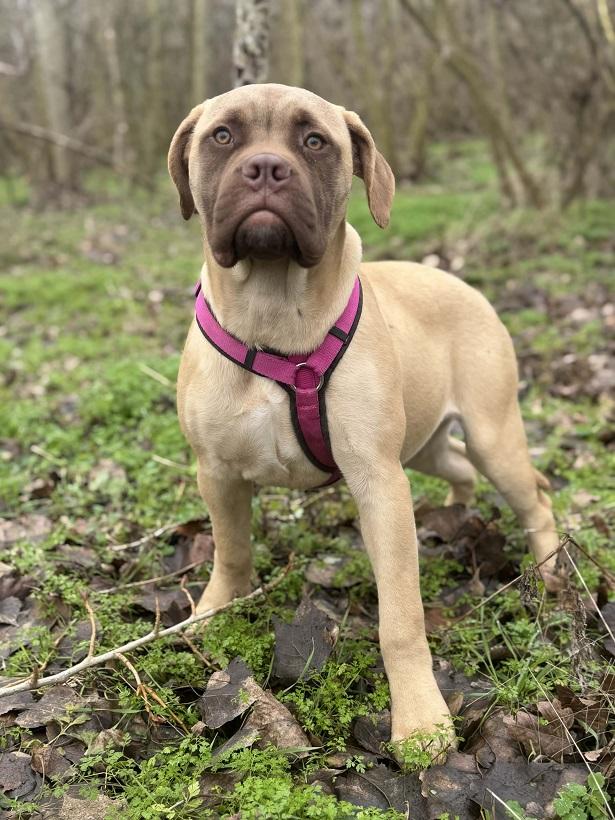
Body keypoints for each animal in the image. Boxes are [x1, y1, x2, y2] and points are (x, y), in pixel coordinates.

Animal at [168, 84, 560, 753]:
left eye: (314, 141)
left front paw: (421, 722)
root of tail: (463, 283)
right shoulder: (215, 470)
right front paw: (217, 610)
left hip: (492, 436)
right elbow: (231, 548)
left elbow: (400, 618)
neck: (274, 309)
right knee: (459, 468)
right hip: (427, 446)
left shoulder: (379, 483)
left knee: (534, 495)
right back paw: (456, 514)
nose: (265, 168)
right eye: (222, 136)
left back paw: (549, 570)